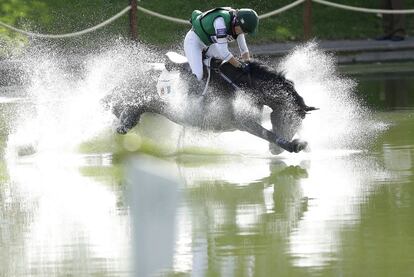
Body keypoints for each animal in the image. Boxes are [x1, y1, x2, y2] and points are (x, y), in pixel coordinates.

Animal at [102, 51, 316, 153]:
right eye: (290, 119)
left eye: (299, 122)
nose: (275, 152)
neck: (241, 85)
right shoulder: (243, 123)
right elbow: (268, 134)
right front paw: (294, 146)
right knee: (123, 113)